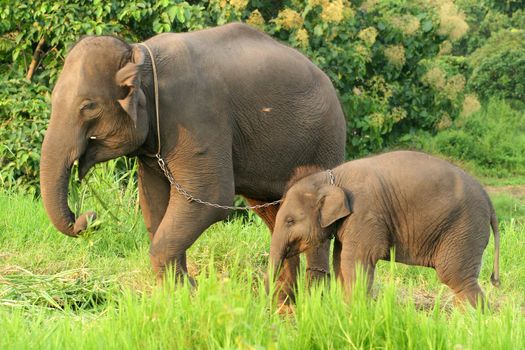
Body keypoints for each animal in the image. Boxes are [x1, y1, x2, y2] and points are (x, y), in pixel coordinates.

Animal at [39, 22, 346, 298]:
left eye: (88, 106)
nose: (88, 217)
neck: (141, 55)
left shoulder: (196, 115)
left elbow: (209, 197)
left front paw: (189, 292)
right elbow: (154, 202)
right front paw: (178, 293)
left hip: (325, 141)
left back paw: (312, 299)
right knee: (273, 213)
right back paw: (280, 302)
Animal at [270, 150, 500, 306]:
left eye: (290, 221)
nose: (273, 306)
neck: (331, 177)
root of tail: (490, 202)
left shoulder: (364, 213)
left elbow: (356, 260)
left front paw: (355, 312)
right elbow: (339, 261)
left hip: (464, 229)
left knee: (456, 277)